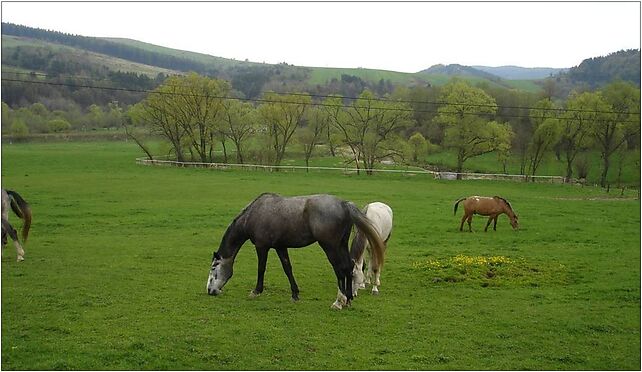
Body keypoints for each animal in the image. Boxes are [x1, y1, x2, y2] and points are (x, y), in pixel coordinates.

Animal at [208, 192, 382, 308]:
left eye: (214, 268)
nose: (210, 290)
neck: (254, 214)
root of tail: (344, 204)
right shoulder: (280, 247)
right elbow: (288, 269)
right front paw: (295, 294)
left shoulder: (262, 247)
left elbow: (261, 268)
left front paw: (256, 291)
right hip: (341, 245)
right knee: (348, 267)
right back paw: (348, 298)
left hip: (330, 247)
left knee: (340, 269)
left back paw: (339, 301)